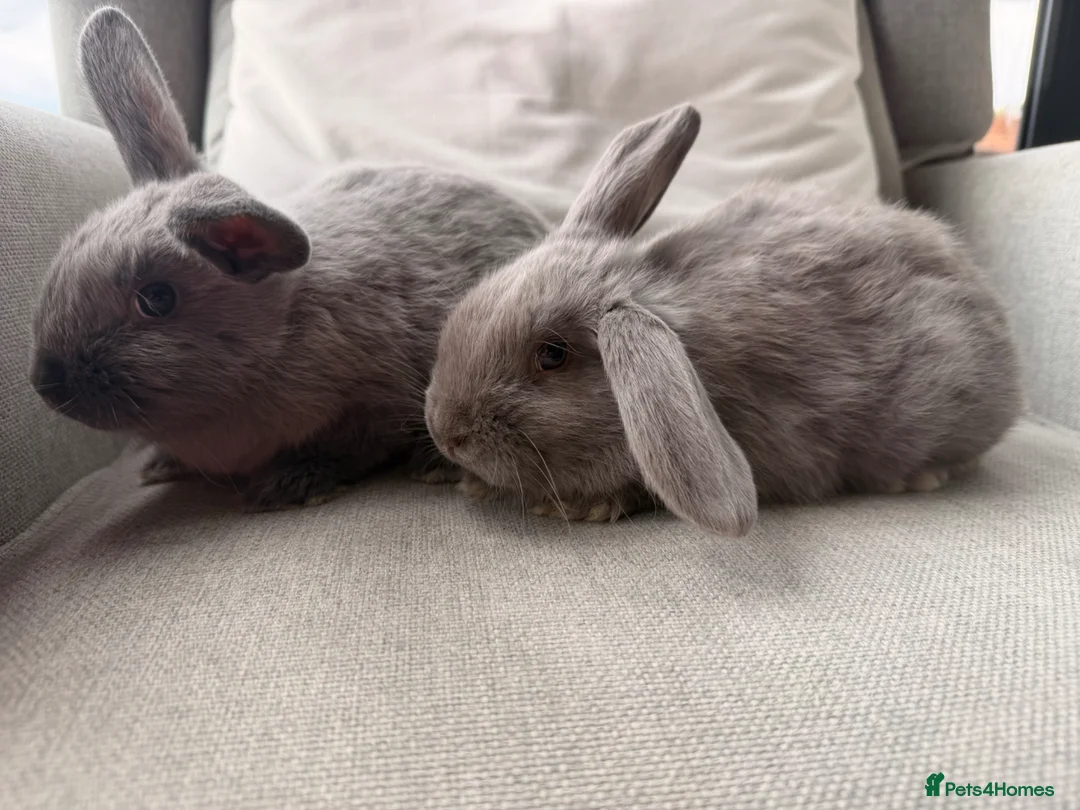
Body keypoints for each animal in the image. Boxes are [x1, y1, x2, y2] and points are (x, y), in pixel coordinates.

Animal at [29, 7, 547, 511]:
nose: (46, 383)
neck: (281, 330)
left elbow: (351, 446)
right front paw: (160, 466)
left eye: (156, 299)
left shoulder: (375, 403)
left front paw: (288, 484)